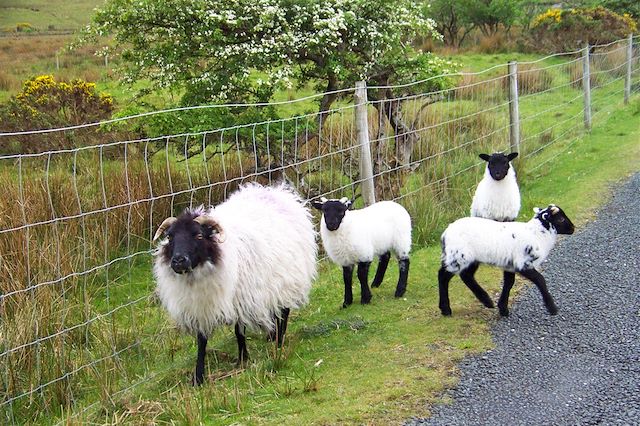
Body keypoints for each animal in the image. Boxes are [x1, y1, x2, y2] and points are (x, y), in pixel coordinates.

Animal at [152, 183, 318, 386]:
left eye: (198, 235)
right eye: (170, 237)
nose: (178, 261)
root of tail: (276, 191)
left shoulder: (241, 298)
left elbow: (239, 332)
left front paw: (242, 359)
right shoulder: (202, 307)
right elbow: (202, 341)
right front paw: (198, 377)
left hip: (288, 279)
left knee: (284, 311)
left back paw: (279, 341)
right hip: (270, 284)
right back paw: (271, 336)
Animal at [440, 205, 576, 318]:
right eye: (561, 219)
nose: (573, 228)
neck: (537, 235)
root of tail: (445, 234)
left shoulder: (510, 265)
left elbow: (509, 283)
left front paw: (503, 309)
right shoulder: (523, 263)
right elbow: (540, 280)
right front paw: (552, 308)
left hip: (471, 259)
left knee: (466, 276)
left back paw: (487, 301)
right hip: (458, 257)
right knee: (443, 276)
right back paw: (446, 309)